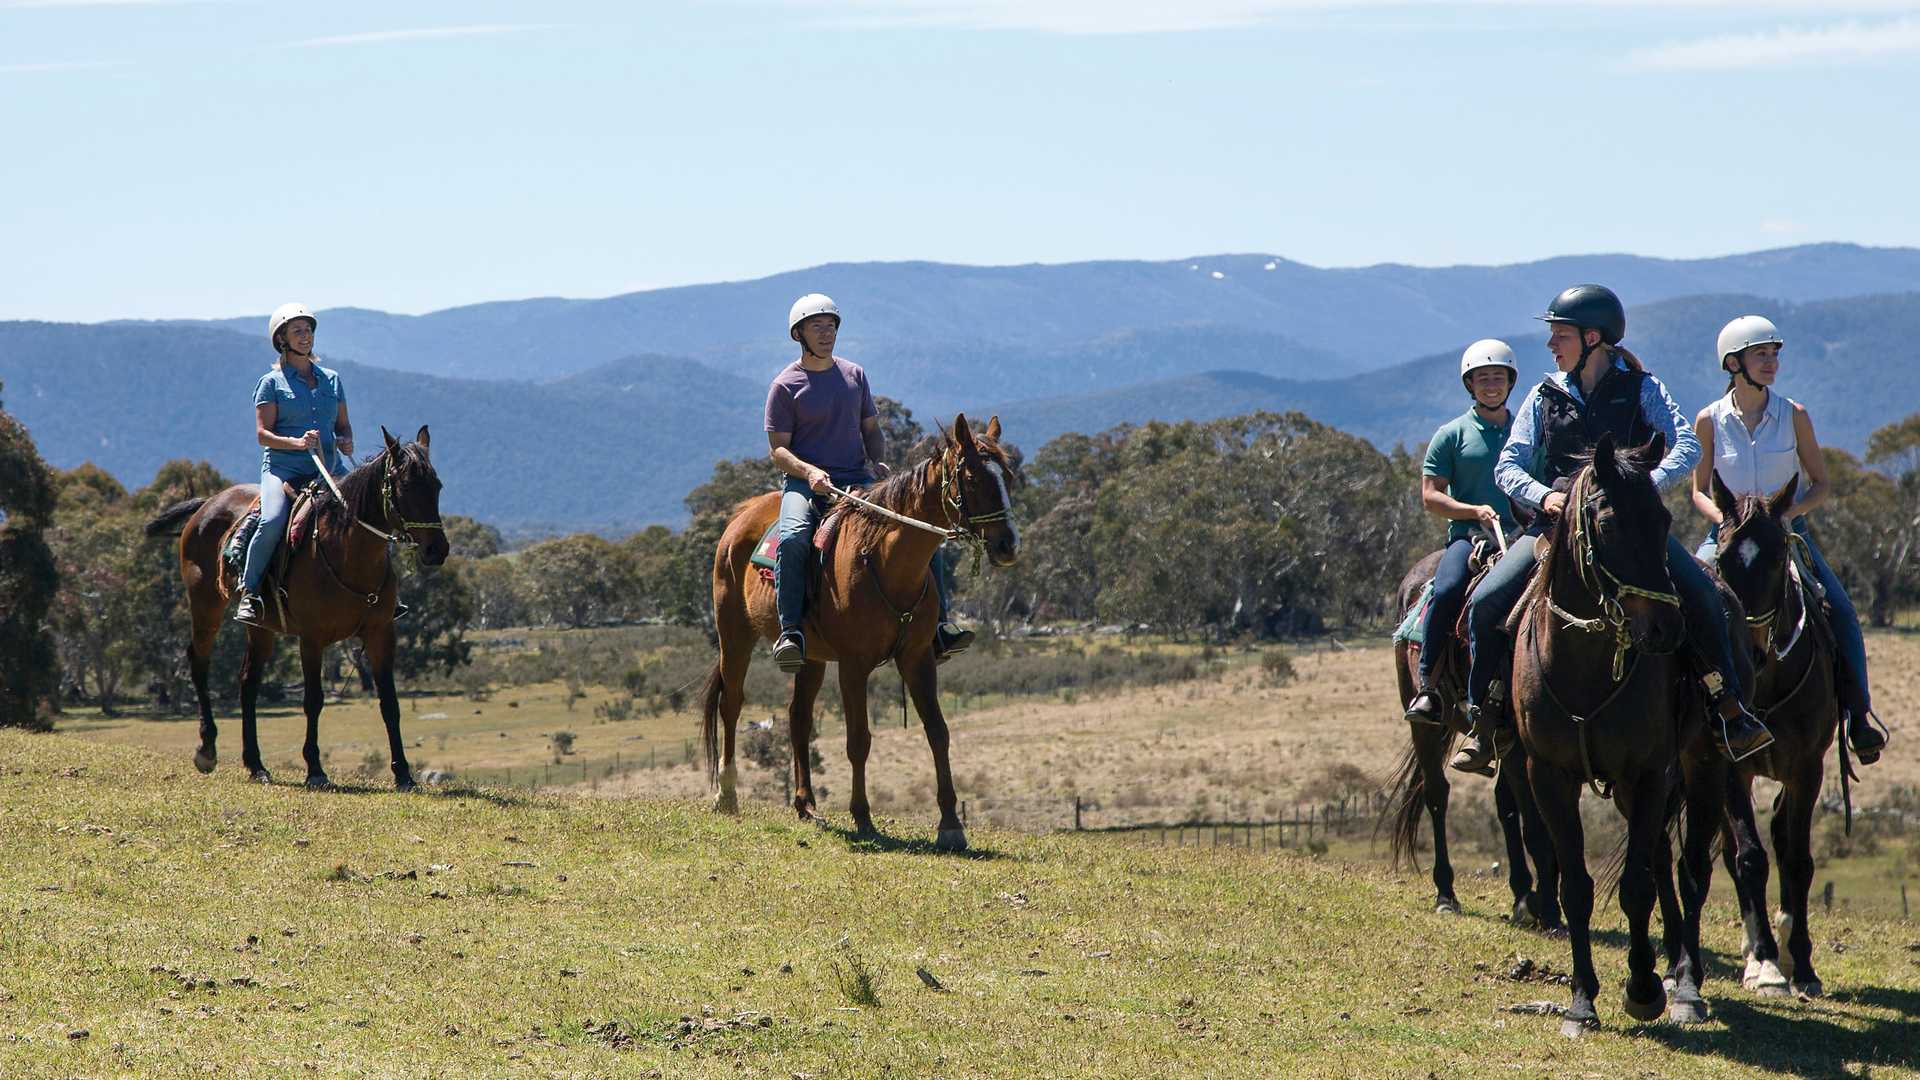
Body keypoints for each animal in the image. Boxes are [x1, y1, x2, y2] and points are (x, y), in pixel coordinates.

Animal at [143, 424, 449, 787]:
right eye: (405, 486)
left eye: (436, 486)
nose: (437, 550)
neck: (348, 552)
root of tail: (208, 504)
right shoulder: (312, 638)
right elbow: (313, 700)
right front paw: (315, 770)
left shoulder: (380, 633)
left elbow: (390, 702)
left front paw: (403, 773)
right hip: (206, 606)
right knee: (199, 663)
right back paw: (207, 749)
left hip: (260, 626)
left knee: (248, 681)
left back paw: (256, 764)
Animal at [695, 411, 1021, 849]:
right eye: (972, 479)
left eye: (1008, 475)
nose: (1008, 545)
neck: (883, 561)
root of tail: (740, 518)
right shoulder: (853, 666)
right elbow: (859, 740)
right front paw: (863, 817)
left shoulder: (918, 659)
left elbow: (938, 731)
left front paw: (951, 824)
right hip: (734, 636)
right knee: (731, 705)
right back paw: (726, 795)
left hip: (810, 656)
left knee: (798, 717)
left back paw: (805, 804)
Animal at [1390, 545, 1566, 926]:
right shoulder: (1522, 752)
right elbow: (1536, 827)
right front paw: (1548, 909)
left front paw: (1543, 902)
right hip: (1425, 726)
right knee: (1437, 794)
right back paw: (1446, 893)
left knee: (1504, 804)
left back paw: (1521, 893)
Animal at [1505, 430, 1735, 1037]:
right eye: (1607, 524)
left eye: (1661, 519)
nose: (1666, 629)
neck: (1584, 667)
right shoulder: (1549, 777)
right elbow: (1576, 887)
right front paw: (1582, 1002)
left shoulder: (1649, 772)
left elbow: (1635, 887)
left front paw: (1643, 989)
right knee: (1660, 860)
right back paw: (1671, 964)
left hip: (1704, 767)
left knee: (1689, 871)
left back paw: (1686, 985)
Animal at [1712, 470, 1843, 991]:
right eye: (1723, 559)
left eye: (1775, 558)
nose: (1745, 652)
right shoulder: (1732, 768)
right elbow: (1749, 858)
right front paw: (1765, 962)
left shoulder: (1807, 768)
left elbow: (1799, 860)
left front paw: (1802, 963)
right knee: (1736, 850)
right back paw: (1756, 952)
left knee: (1784, 837)